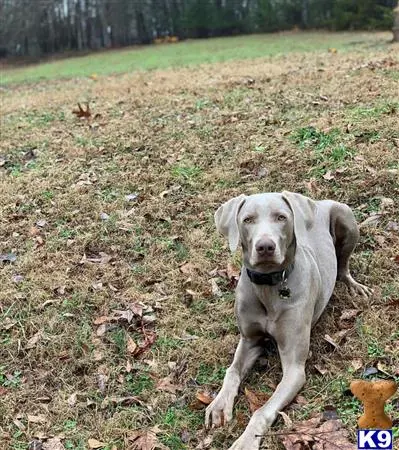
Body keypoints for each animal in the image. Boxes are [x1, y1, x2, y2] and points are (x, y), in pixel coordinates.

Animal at [205, 192, 374, 448]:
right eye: (247, 219)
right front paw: (219, 404)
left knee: (343, 267)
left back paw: (355, 287)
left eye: (281, 217)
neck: (269, 287)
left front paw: (245, 441)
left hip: (346, 218)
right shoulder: (249, 340)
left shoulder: (295, 370)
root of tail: (319, 201)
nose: (265, 247)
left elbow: (262, 411)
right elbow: (232, 371)